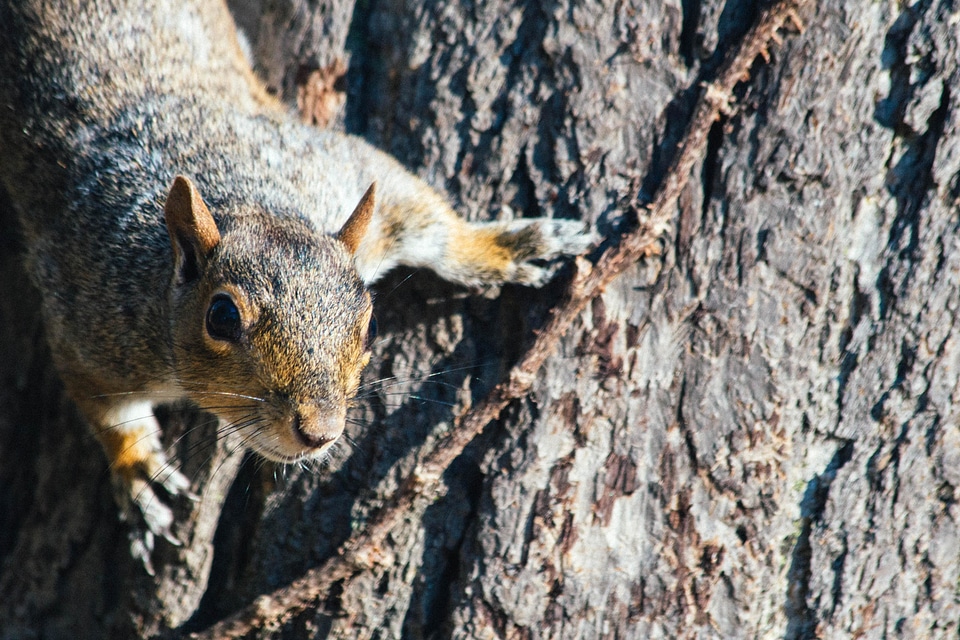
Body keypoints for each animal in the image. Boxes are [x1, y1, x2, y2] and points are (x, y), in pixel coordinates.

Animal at [0, 0, 592, 568]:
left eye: (369, 321)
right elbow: (102, 403)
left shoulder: (338, 169)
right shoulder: (88, 315)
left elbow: (425, 217)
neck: (247, 202)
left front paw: (504, 247)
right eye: (221, 317)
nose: (319, 432)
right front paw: (138, 467)